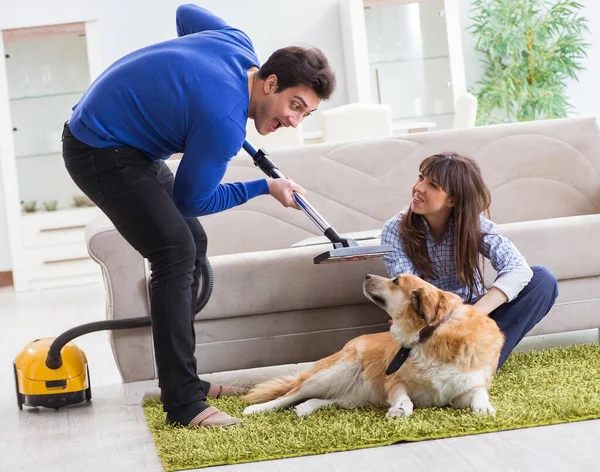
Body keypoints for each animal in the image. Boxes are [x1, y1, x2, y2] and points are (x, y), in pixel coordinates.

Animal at [241, 272, 504, 418]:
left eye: (396, 281)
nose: (366, 275)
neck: (429, 334)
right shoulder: (394, 382)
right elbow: (405, 398)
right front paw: (401, 409)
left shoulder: (467, 387)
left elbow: (479, 393)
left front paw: (485, 408)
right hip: (336, 371)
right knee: (291, 394)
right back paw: (258, 410)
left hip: (356, 397)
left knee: (325, 400)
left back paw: (306, 408)